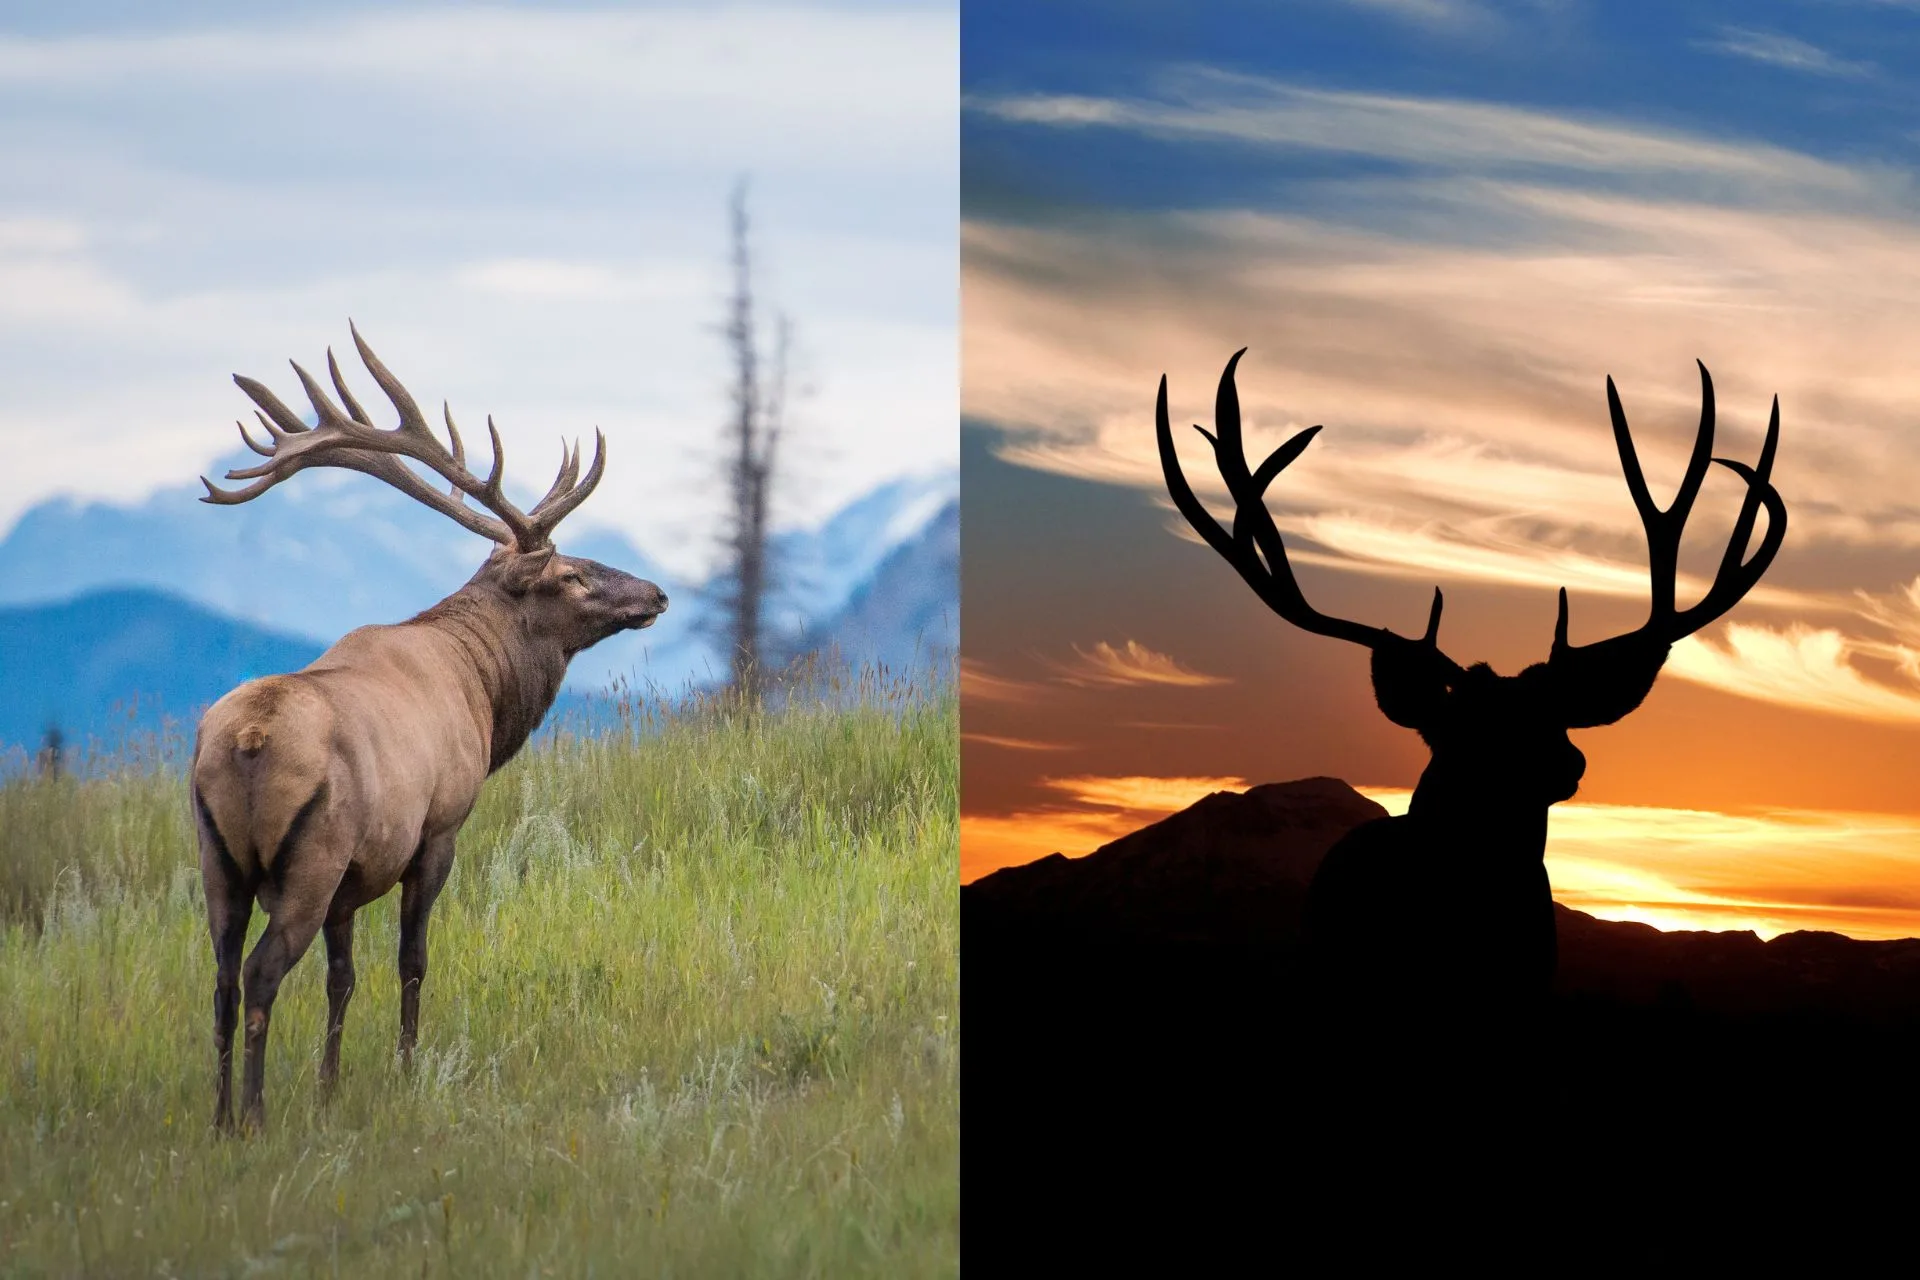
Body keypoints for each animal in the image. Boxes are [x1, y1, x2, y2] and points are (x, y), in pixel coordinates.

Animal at [190, 325, 668, 1133]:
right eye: (570, 574)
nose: (657, 593)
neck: (482, 693)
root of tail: (247, 741)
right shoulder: (437, 830)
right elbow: (412, 962)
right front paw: (407, 1071)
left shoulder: (352, 882)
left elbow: (343, 978)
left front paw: (329, 1086)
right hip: (309, 857)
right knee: (259, 974)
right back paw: (251, 1116)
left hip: (217, 860)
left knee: (221, 979)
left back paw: (220, 1117)